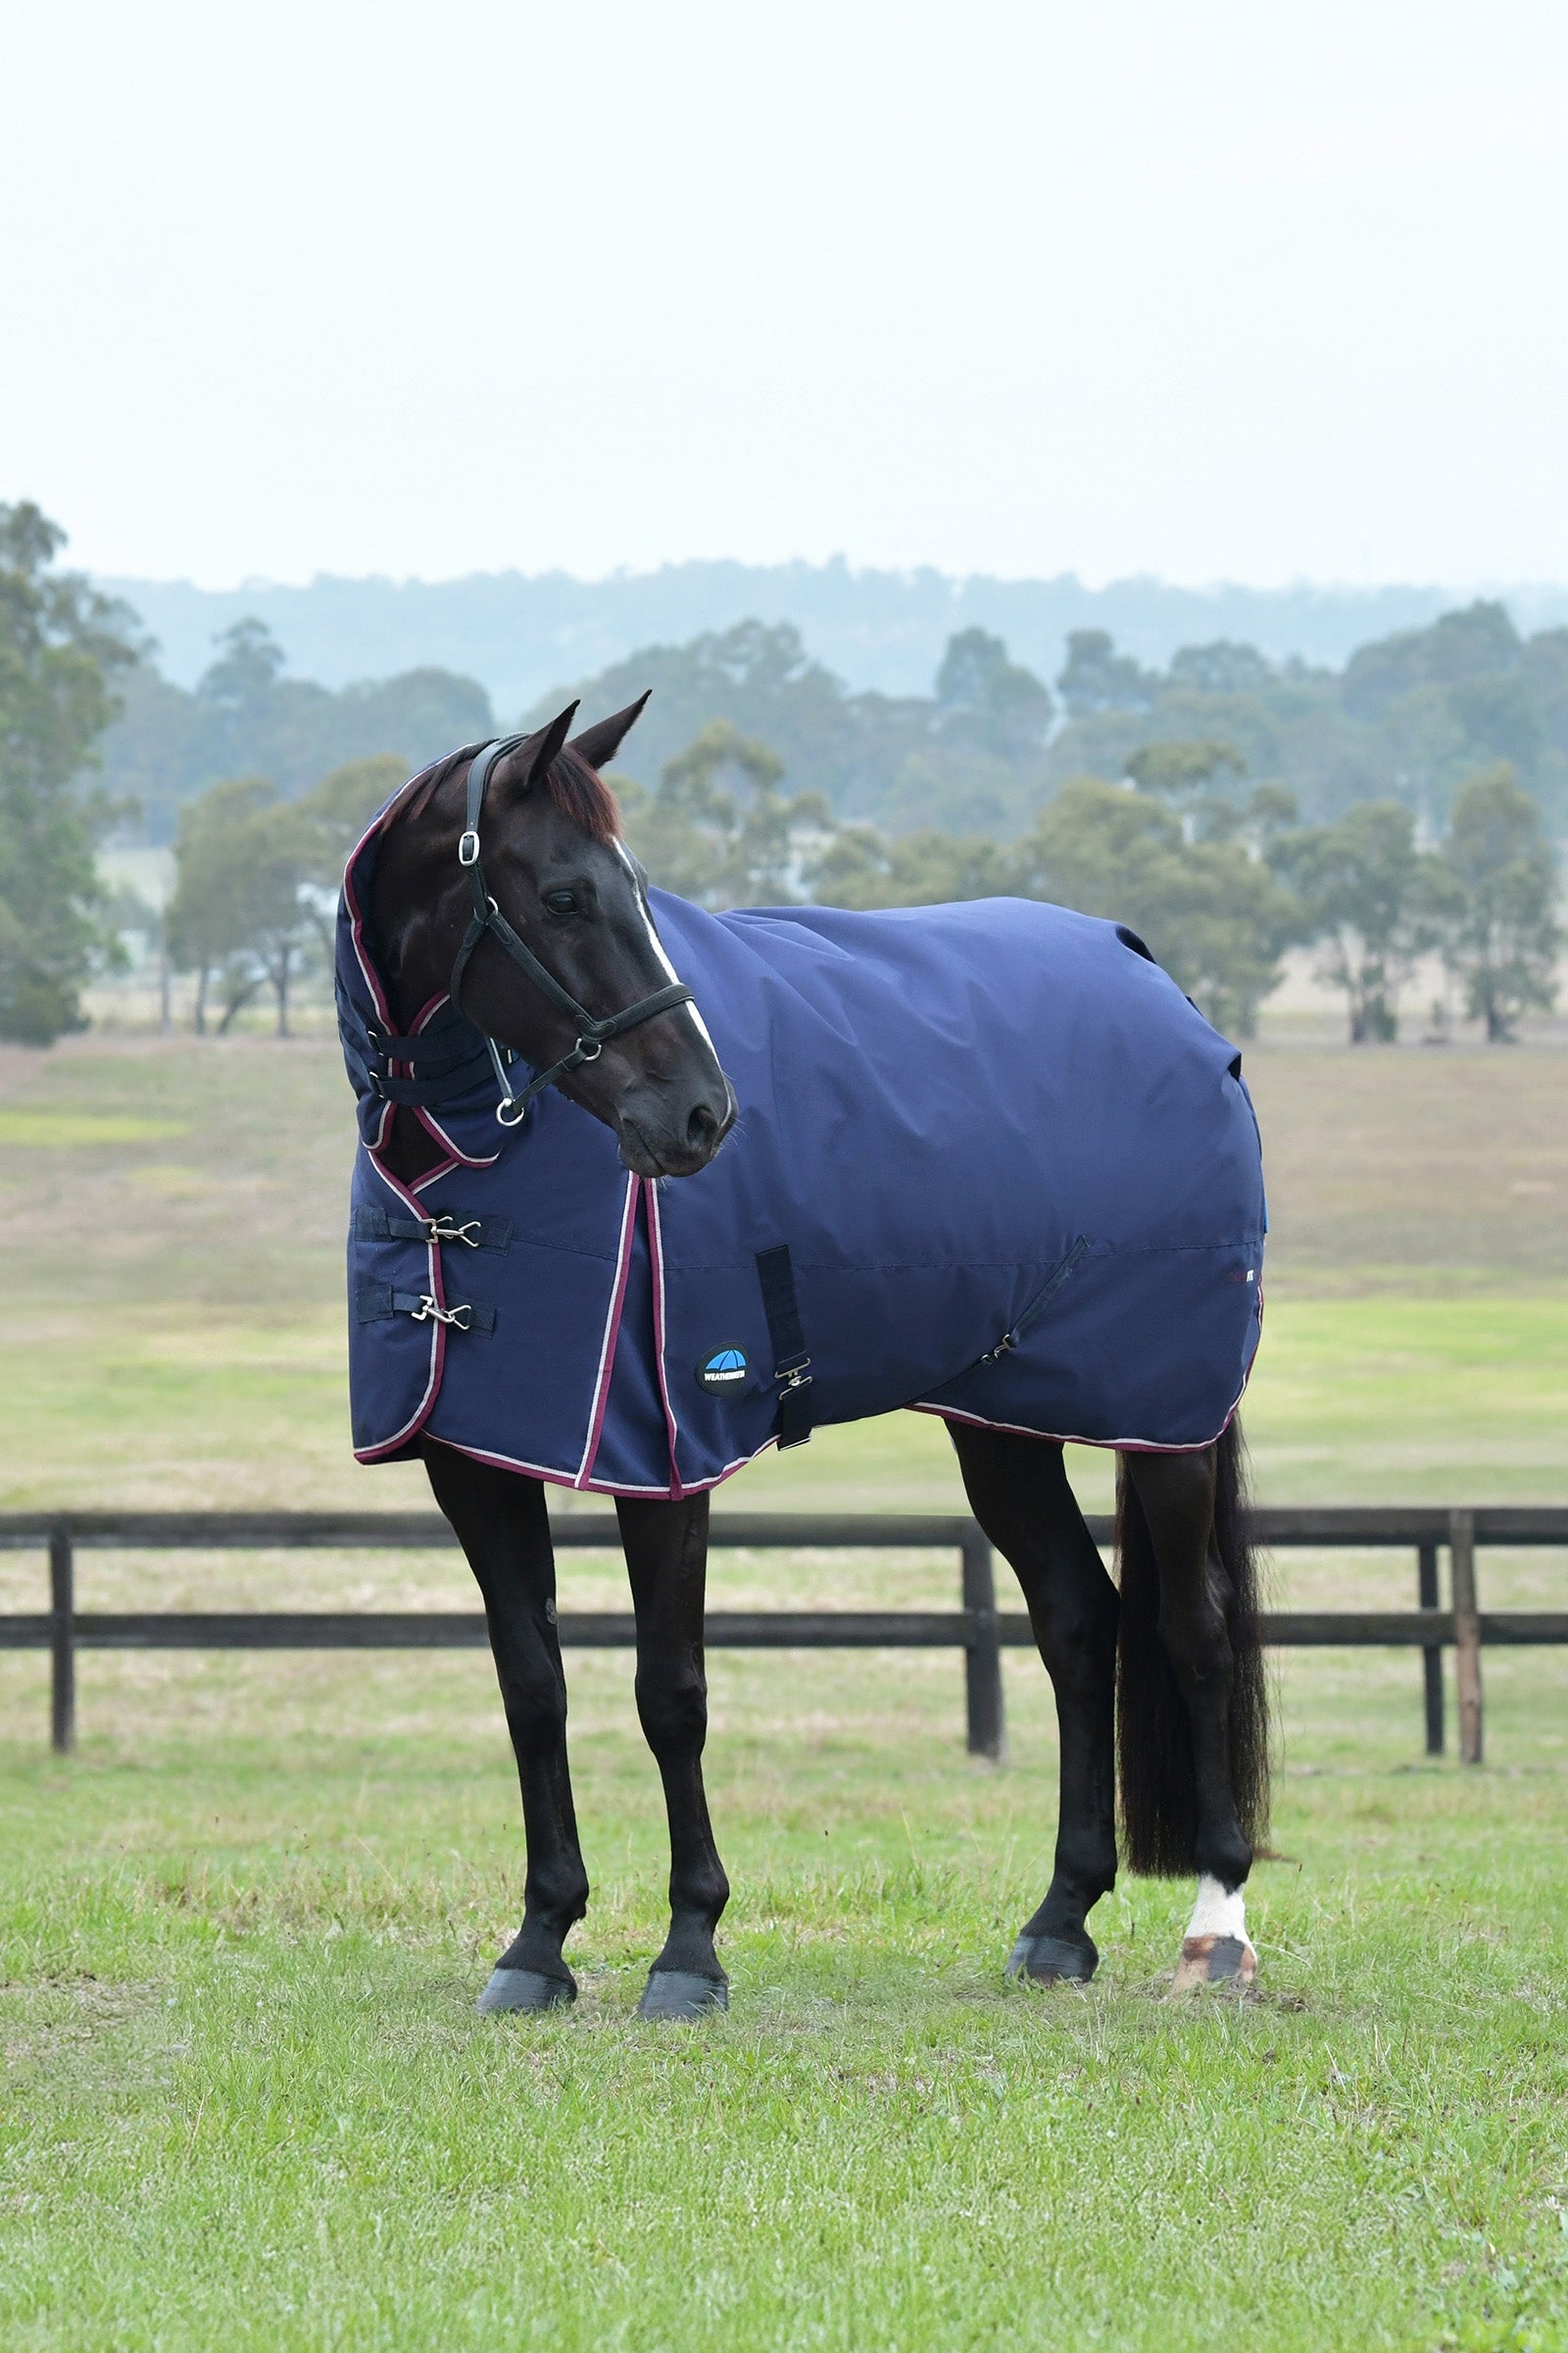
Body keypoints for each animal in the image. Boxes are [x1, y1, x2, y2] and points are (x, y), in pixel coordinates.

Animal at [339, 698, 1269, 2021]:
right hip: (1003, 1422)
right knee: (1078, 1622)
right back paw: (1058, 1922)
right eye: (564, 895)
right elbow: (534, 1688)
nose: (700, 1116)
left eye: (635, 889)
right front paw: (539, 1942)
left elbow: (669, 1694)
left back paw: (1217, 1926)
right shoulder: (473, 1460)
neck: (467, 1171)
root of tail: (1163, 985)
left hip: (1165, 1417)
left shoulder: (665, 1456)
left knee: (1192, 1629)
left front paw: (689, 1950)